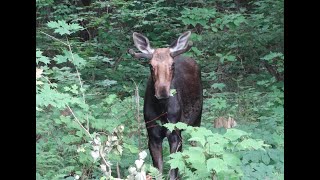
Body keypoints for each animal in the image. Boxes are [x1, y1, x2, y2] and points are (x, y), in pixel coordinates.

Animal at [128, 31, 201, 179]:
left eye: (172, 65)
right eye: (151, 65)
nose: (162, 91)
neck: (162, 110)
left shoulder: (175, 133)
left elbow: (173, 172)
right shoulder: (152, 135)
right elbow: (158, 170)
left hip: (197, 119)